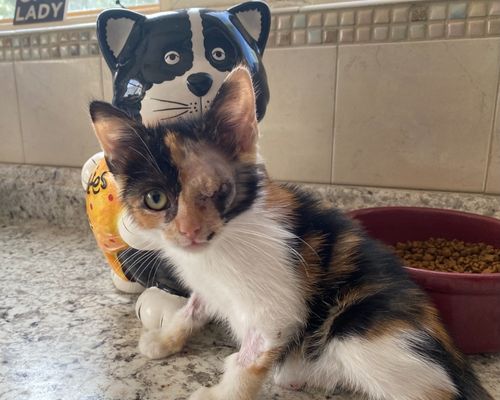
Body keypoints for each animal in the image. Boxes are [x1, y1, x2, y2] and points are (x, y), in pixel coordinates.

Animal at [90, 67, 492, 398]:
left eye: (219, 188)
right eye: (155, 199)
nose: (190, 232)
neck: (219, 247)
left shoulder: (278, 307)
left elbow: (252, 355)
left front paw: (223, 393)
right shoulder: (206, 283)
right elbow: (194, 305)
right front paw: (166, 338)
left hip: (358, 329)